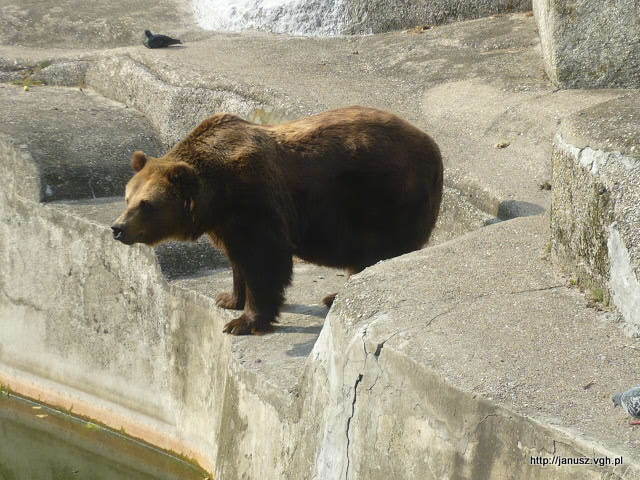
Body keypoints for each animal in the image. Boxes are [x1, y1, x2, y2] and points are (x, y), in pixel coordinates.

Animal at [112, 107, 442, 336]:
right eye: (127, 197)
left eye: (146, 204)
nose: (118, 228)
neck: (215, 195)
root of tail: (431, 144)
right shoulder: (227, 221)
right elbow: (238, 259)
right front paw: (229, 298)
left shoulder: (255, 199)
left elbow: (265, 260)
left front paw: (243, 322)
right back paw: (335, 295)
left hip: (386, 196)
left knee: (384, 251)